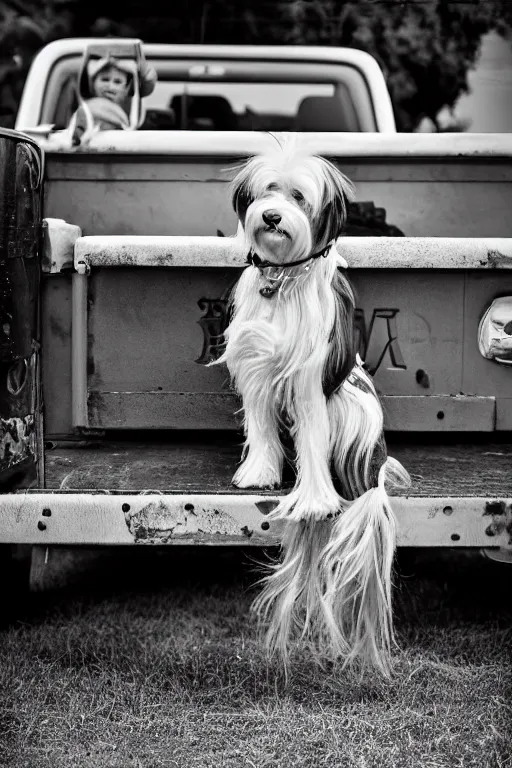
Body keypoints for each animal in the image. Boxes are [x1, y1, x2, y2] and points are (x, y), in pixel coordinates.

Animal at [214, 136, 410, 672]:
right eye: (267, 191)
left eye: (299, 197)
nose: (271, 216)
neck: (281, 279)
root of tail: (373, 473)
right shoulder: (258, 371)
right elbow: (261, 430)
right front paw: (259, 475)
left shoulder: (308, 381)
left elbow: (311, 443)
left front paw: (313, 501)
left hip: (351, 408)